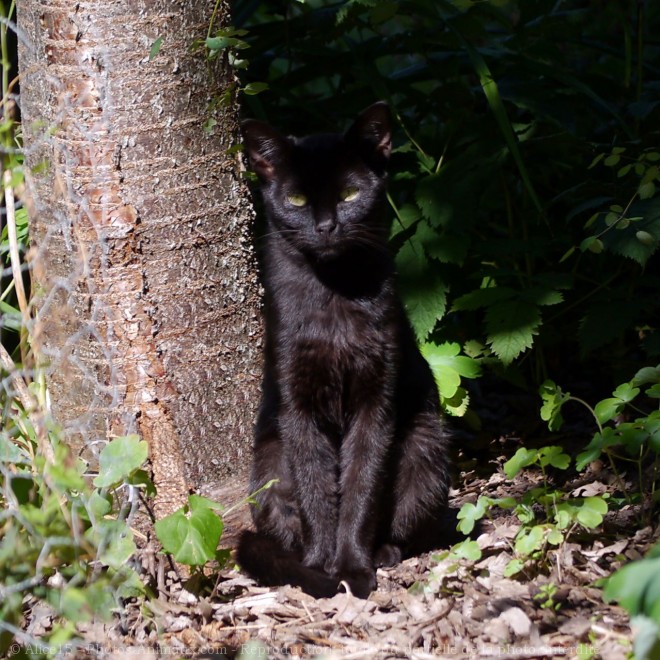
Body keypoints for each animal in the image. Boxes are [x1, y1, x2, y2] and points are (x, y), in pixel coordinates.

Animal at [236, 102, 448, 600]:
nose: (326, 226)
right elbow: (315, 487)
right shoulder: (298, 404)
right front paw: (319, 566)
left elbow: (361, 484)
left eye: (350, 193)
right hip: (269, 462)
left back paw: (384, 552)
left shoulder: (377, 399)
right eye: (296, 200)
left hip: (425, 446)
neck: (333, 296)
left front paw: (352, 566)